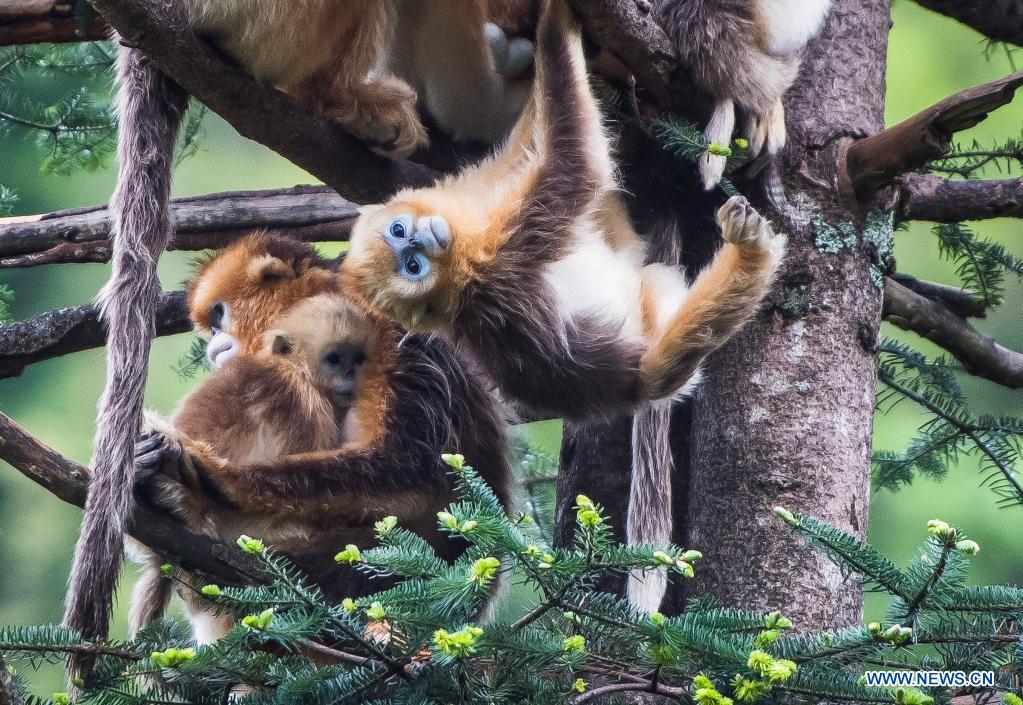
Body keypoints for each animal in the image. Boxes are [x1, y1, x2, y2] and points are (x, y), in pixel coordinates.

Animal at [341, 0, 781, 609]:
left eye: (402, 237)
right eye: (411, 270)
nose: (419, 246)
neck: (461, 251)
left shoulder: (477, 195)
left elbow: (530, 142)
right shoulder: (502, 255)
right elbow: (574, 165)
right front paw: (556, 23)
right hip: (655, 346)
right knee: (670, 350)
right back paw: (749, 256)